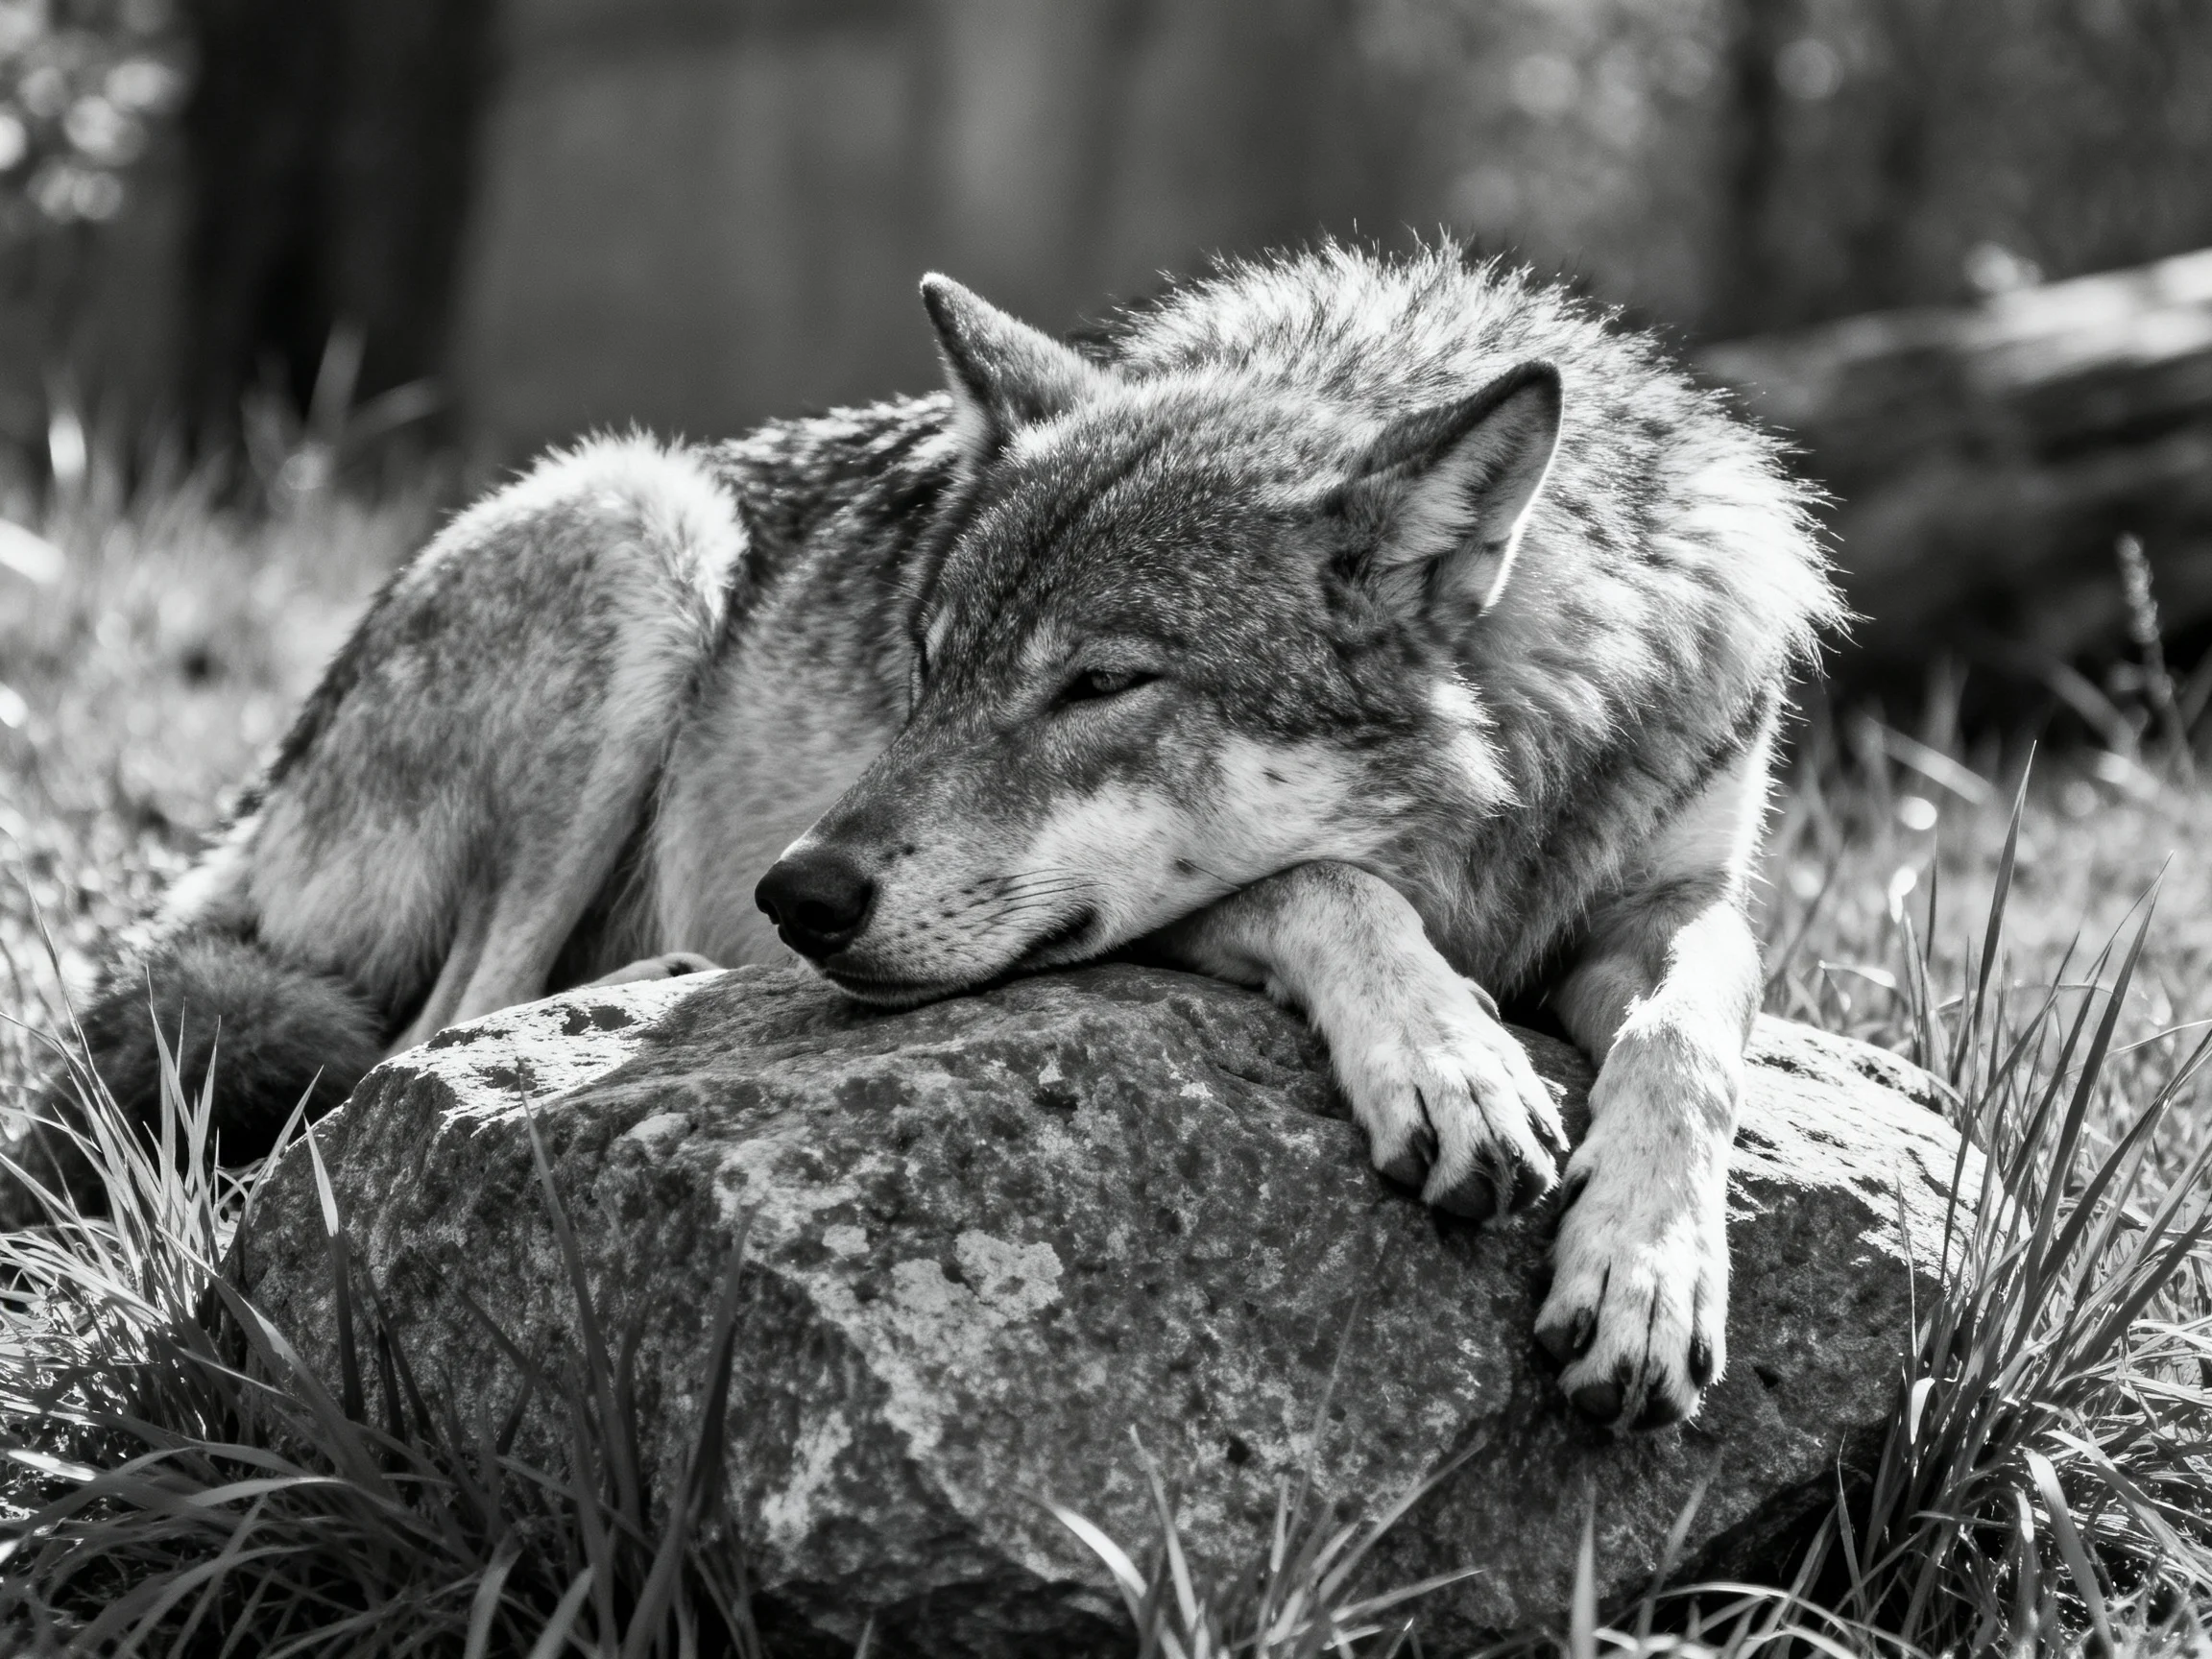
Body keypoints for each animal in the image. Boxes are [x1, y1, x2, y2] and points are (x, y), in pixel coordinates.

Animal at [63, 243, 1836, 1428]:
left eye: (1100, 682)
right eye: (928, 666)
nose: (798, 892)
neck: (1524, 766)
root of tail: (251, 797)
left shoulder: (1675, 895)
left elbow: (1696, 1020)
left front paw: (1646, 1267)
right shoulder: (1198, 908)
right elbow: (1330, 877)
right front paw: (1451, 1059)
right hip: (642, 533)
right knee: (414, 1051)